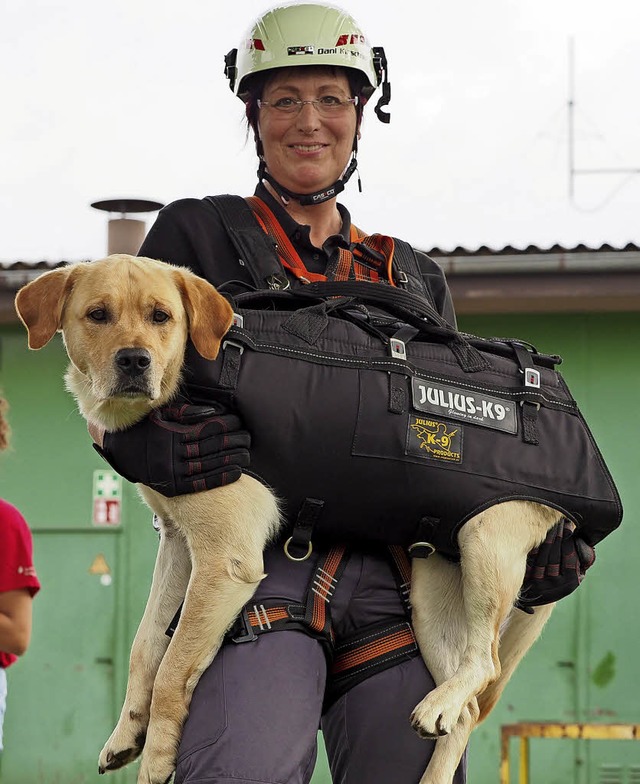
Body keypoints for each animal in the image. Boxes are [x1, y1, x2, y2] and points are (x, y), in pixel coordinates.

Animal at [16, 254, 560, 780]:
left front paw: (156, 758)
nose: (134, 360)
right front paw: (127, 732)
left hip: (485, 543)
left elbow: (171, 670)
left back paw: (441, 702)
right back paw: (440, 733)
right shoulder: (179, 547)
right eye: (97, 315)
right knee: (466, 709)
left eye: (161, 317)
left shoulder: (225, 563)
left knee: (486, 663)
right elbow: (145, 646)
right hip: (432, 597)